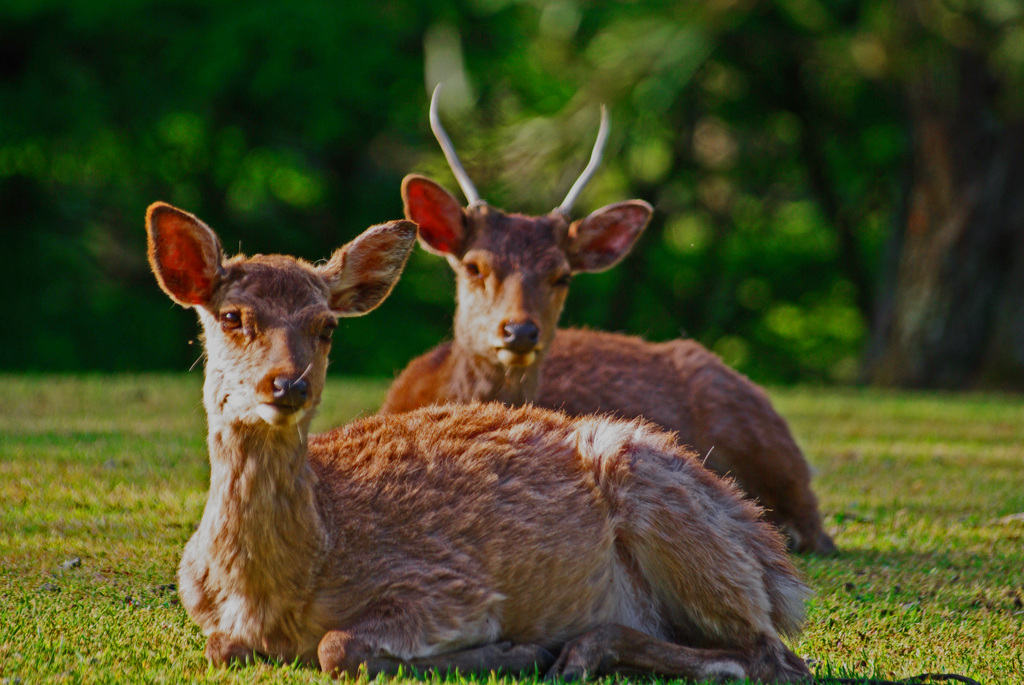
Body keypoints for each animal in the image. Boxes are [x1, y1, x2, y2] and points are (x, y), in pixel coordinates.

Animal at [148, 200, 811, 679]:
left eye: (327, 326)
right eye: (232, 316)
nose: (288, 384)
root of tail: (783, 575)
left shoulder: (450, 588)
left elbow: (338, 647)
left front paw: (513, 651)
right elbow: (221, 647)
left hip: (677, 516)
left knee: (774, 657)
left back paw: (576, 652)